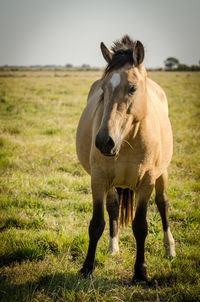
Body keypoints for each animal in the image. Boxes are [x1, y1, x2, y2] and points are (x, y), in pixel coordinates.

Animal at [76, 35, 176, 284]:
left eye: (132, 88)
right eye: (103, 89)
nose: (104, 141)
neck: (129, 139)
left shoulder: (147, 182)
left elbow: (140, 226)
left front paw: (140, 273)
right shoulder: (98, 179)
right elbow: (96, 224)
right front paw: (87, 268)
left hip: (162, 174)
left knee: (163, 203)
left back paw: (169, 249)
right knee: (113, 207)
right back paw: (113, 247)